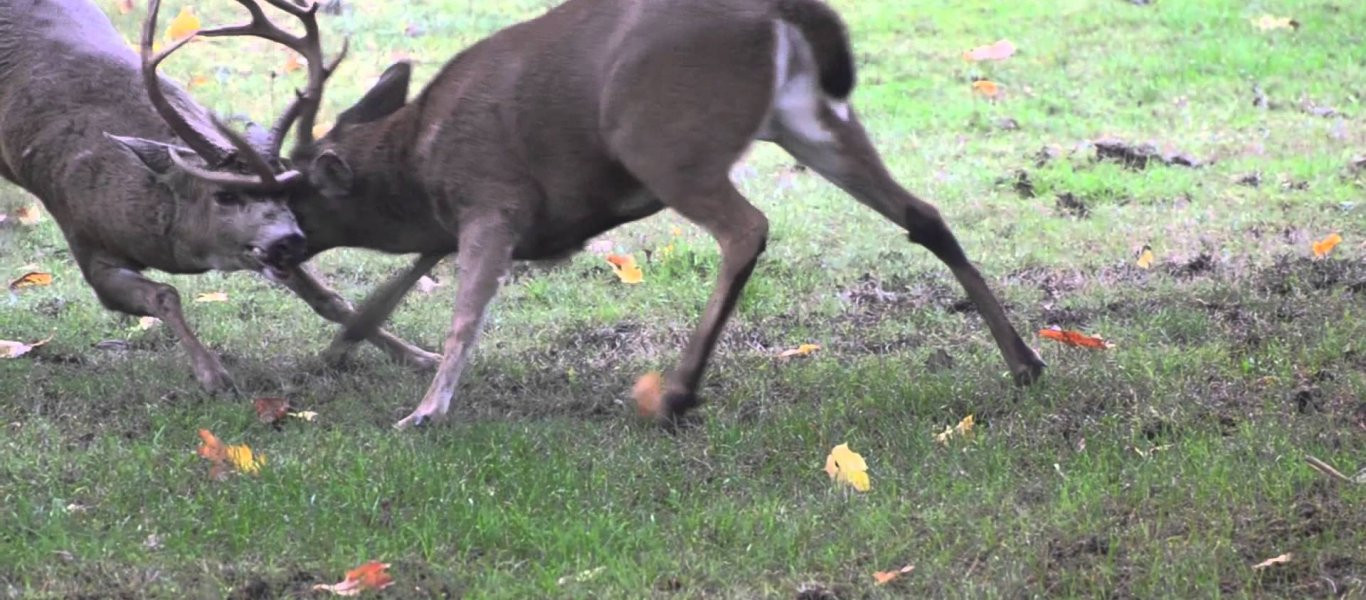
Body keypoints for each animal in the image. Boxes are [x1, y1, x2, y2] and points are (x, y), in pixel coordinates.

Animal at [0, 0, 434, 393]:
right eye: (224, 195)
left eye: (288, 190)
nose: (290, 240)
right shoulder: (84, 239)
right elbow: (165, 294)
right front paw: (214, 376)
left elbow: (329, 299)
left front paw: (420, 355)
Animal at [170, 0, 1049, 426]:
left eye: (293, 194)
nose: (280, 253)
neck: (419, 158)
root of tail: (779, 15)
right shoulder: (500, 215)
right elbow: (420, 269)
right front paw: (343, 346)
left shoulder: (494, 194)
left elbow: (463, 309)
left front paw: (423, 412)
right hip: (809, 116)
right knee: (924, 214)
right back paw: (1026, 361)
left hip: (665, 138)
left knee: (748, 229)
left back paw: (676, 395)